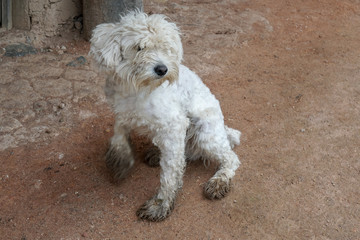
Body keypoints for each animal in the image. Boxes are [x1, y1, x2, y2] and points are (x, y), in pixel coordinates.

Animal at [90, 11, 242, 221]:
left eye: (166, 48)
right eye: (139, 47)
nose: (162, 69)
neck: (137, 88)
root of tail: (223, 129)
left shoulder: (174, 125)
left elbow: (170, 173)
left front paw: (160, 204)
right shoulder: (122, 113)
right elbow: (119, 135)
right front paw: (120, 161)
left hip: (205, 134)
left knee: (230, 158)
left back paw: (219, 180)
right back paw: (156, 153)